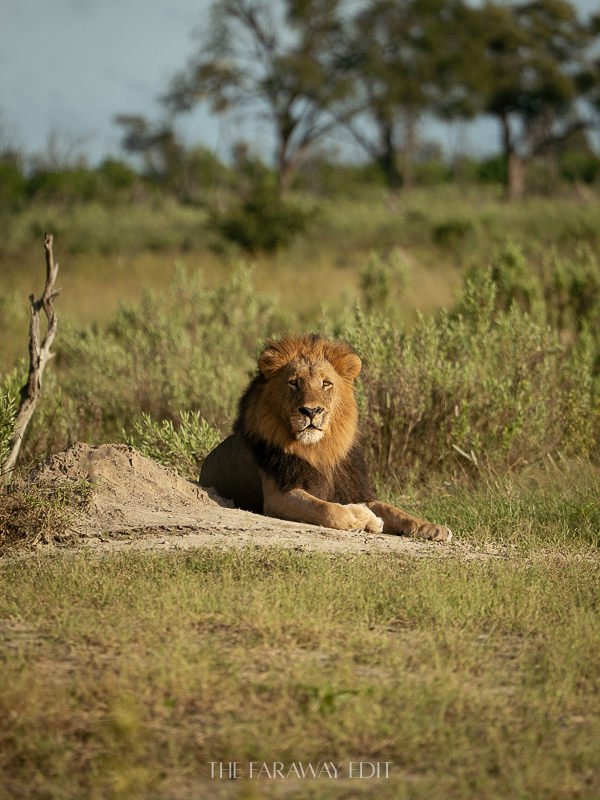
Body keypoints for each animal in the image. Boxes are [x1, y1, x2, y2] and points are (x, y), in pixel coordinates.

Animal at [200, 334, 452, 542]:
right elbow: (330, 510)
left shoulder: (353, 489)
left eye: (326, 383)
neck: (320, 450)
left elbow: (394, 509)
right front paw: (366, 519)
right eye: (293, 383)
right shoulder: (278, 496)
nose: (311, 411)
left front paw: (432, 527)